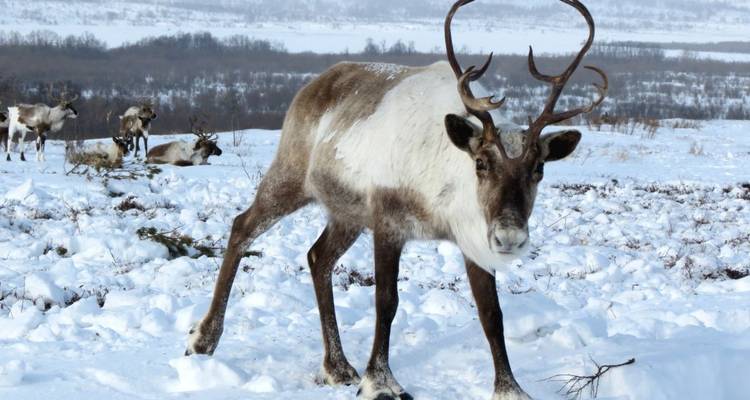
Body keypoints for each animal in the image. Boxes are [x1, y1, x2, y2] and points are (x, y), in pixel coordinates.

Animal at [185, 1, 607, 399]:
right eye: (481, 163)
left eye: (539, 168)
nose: (509, 238)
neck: (441, 195)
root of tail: (315, 83)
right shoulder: (387, 223)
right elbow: (386, 301)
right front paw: (380, 381)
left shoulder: (471, 239)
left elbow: (492, 313)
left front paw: (509, 388)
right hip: (291, 175)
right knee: (242, 226)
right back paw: (203, 339)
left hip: (348, 213)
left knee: (318, 257)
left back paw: (337, 365)